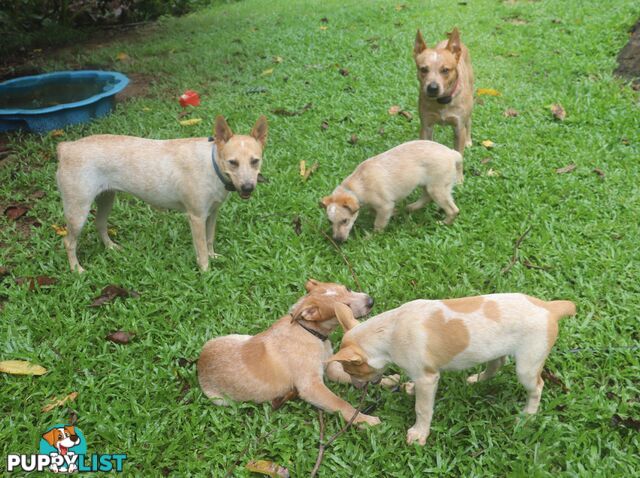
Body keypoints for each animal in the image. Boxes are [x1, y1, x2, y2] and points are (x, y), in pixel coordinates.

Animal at [54, 115, 264, 272]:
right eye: (232, 162)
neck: (212, 164)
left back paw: (111, 247)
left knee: (99, 223)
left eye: (255, 161)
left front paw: (213, 257)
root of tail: (66, 147)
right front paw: (206, 270)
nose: (247, 187)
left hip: (106, 199)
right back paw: (76, 269)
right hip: (77, 211)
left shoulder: (212, 213)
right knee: (68, 242)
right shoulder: (196, 217)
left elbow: (209, 239)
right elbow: (201, 247)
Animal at [198, 280, 380, 426]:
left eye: (348, 288)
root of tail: (200, 364)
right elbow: (341, 404)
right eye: (345, 307)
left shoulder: (329, 368)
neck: (309, 331)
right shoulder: (311, 387)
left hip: (239, 337)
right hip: (222, 400)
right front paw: (366, 420)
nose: (371, 301)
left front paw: (385, 380)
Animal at [320, 138, 460, 243]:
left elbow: (378, 223)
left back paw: (442, 223)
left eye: (345, 221)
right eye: (330, 221)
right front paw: (394, 213)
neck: (355, 187)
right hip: (427, 185)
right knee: (426, 197)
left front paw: (372, 237)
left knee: (453, 210)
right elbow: (375, 212)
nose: (337, 240)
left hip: (437, 189)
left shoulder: (385, 205)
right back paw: (412, 207)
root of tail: (452, 153)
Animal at [330, 294, 576, 446]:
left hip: (527, 366)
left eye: (354, 372)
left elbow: (422, 408)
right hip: (496, 349)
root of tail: (549, 308)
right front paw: (410, 389)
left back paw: (528, 415)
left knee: (537, 387)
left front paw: (419, 434)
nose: (358, 386)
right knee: (496, 364)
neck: (388, 331)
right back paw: (478, 379)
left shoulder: (428, 378)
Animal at [416, 26, 476, 176]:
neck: (442, 102)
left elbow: (459, 156)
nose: (432, 88)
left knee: (469, 121)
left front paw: (459, 178)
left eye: (445, 70)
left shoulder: (459, 128)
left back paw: (469, 140)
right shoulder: (426, 126)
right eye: (423, 69)